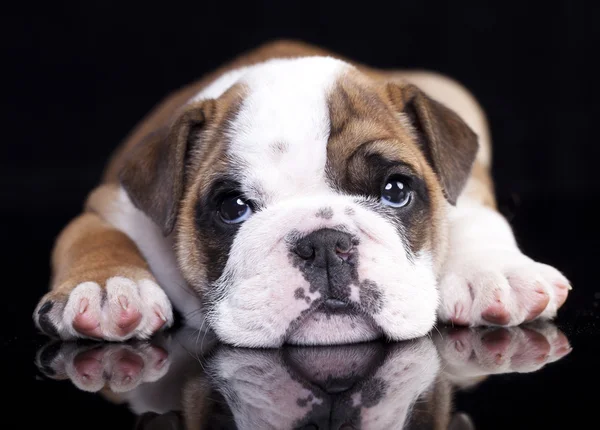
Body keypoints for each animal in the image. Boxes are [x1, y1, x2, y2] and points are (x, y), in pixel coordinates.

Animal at [32, 39, 572, 346]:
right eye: (233, 207)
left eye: (396, 190)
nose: (326, 243)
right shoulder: (111, 207)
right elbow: (94, 237)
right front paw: (105, 286)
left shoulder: (470, 182)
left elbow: (475, 215)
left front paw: (496, 272)